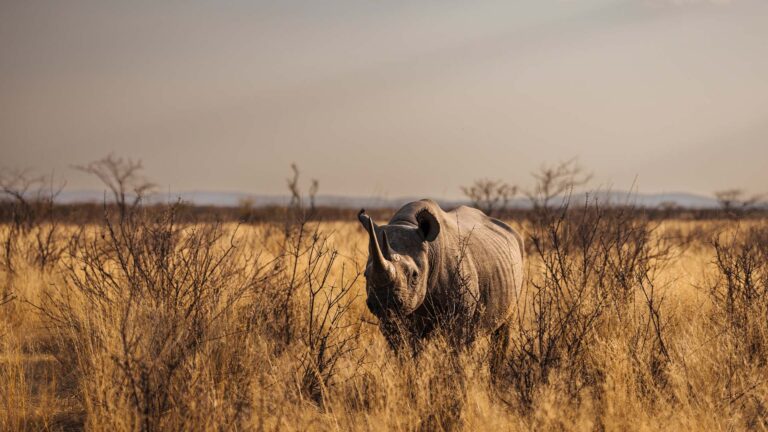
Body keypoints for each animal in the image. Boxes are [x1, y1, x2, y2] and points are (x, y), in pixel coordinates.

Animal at [357, 199, 524, 352]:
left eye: (414, 275)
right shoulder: (391, 317)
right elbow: (403, 349)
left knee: (504, 327)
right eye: (366, 275)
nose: (383, 302)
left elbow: (457, 347)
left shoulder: (460, 313)